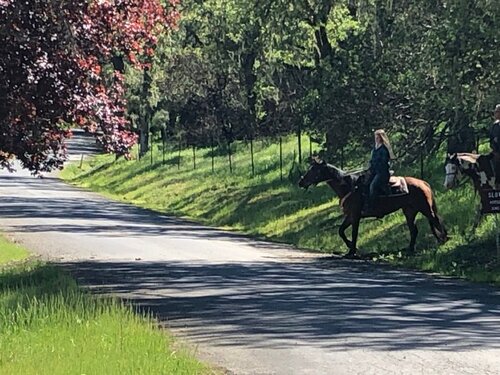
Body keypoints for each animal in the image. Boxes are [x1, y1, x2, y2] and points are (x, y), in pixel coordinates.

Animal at [298, 159, 448, 258]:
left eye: (314, 169)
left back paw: (443, 241)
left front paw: (352, 251)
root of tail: (423, 183)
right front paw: (351, 247)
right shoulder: (349, 216)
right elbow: (341, 231)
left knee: (436, 222)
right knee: (414, 230)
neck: (350, 186)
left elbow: (354, 233)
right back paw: (410, 249)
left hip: (426, 209)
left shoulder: (355, 216)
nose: (301, 182)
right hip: (409, 212)